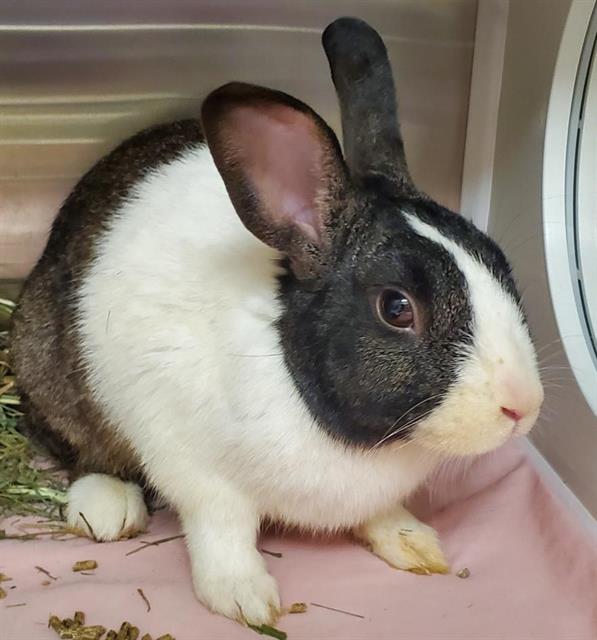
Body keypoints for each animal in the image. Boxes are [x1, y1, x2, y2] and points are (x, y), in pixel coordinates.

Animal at [9, 17, 544, 628]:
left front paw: (415, 542)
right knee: (80, 447)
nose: (523, 407)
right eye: (396, 308)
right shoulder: (199, 472)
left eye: (498, 262)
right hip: (47, 363)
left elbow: (382, 512)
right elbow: (221, 531)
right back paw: (108, 506)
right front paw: (245, 598)